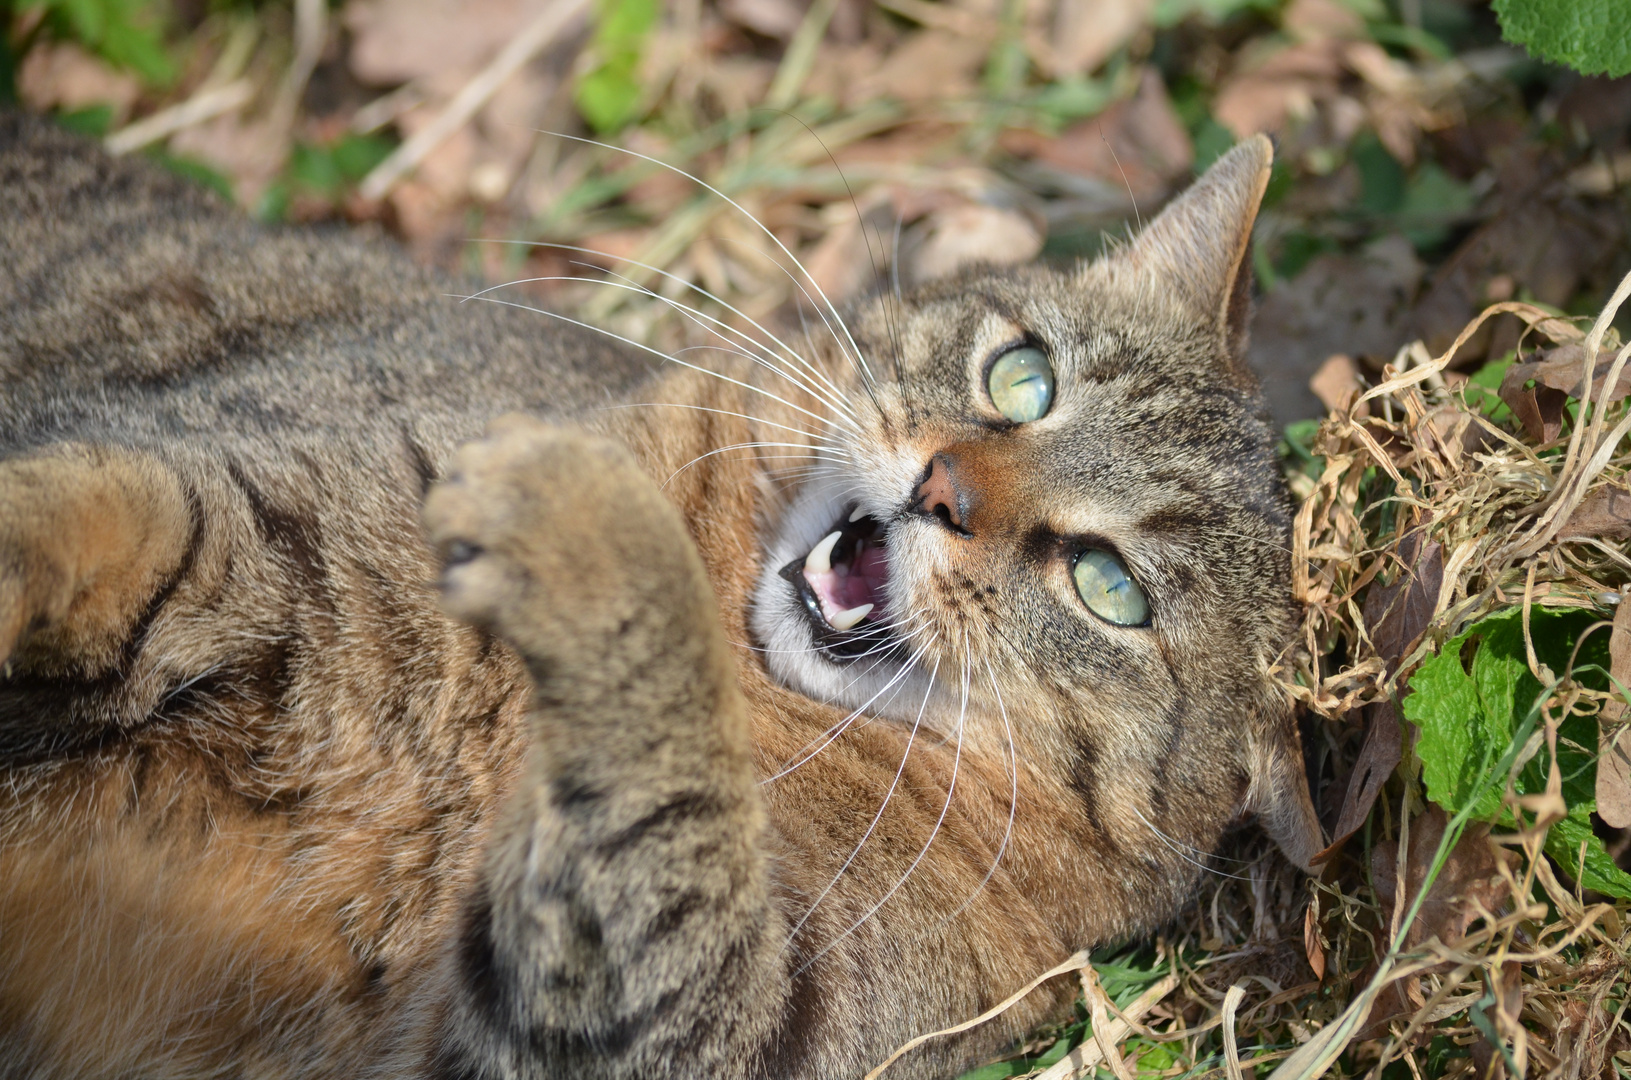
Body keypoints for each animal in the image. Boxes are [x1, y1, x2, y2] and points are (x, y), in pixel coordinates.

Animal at [0, 114, 1317, 1076]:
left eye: (1109, 588)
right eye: (1022, 378)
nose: (940, 487)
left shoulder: (682, 1029)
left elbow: (670, 807)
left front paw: (594, 535)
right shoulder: (260, 512)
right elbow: (114, 514)